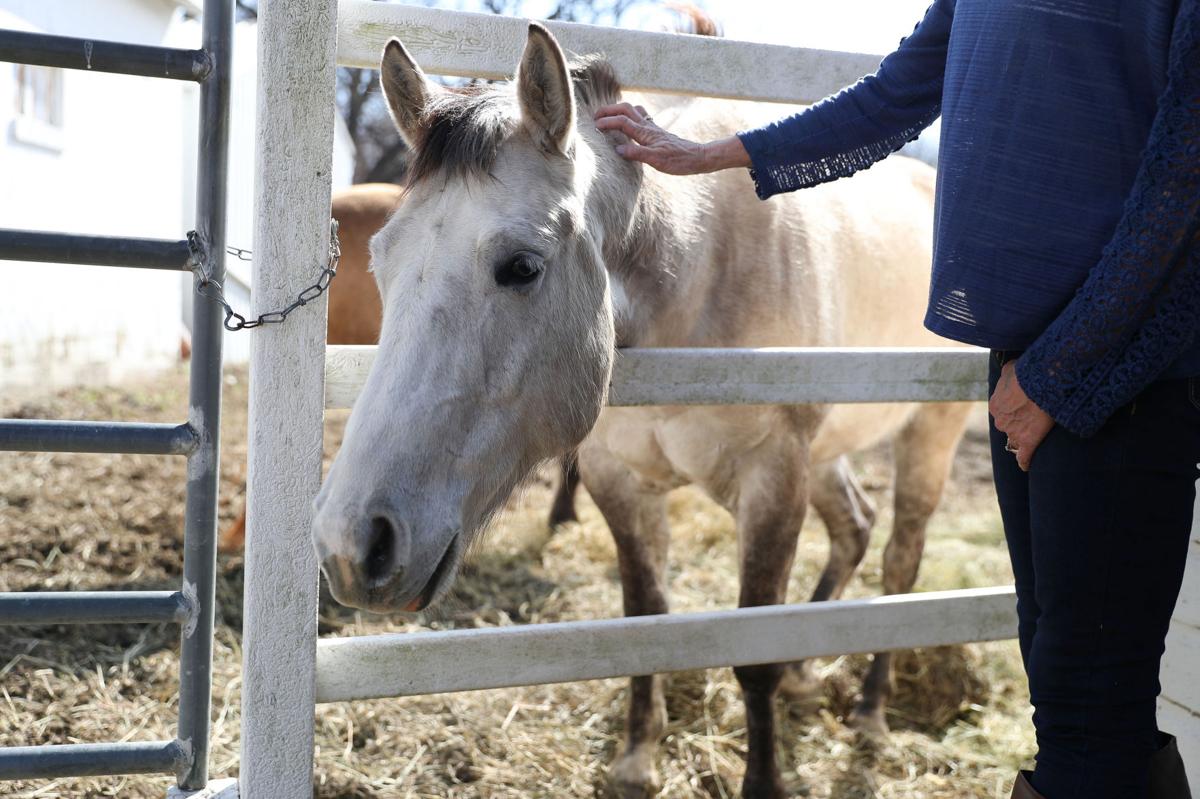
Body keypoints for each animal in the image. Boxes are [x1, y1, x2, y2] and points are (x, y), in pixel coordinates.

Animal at [311, 26, 971, 798]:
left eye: (522, 266)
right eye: (380, 262)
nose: (354, 544)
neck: (694, 269)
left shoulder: (773, 479)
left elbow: (756, 648)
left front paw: (763, 777)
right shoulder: (618, 478)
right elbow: (645, 615)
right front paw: (637, 755)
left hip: (928, 431)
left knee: (899, 562)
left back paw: (869, 711)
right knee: (855, 530)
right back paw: (811, 672)